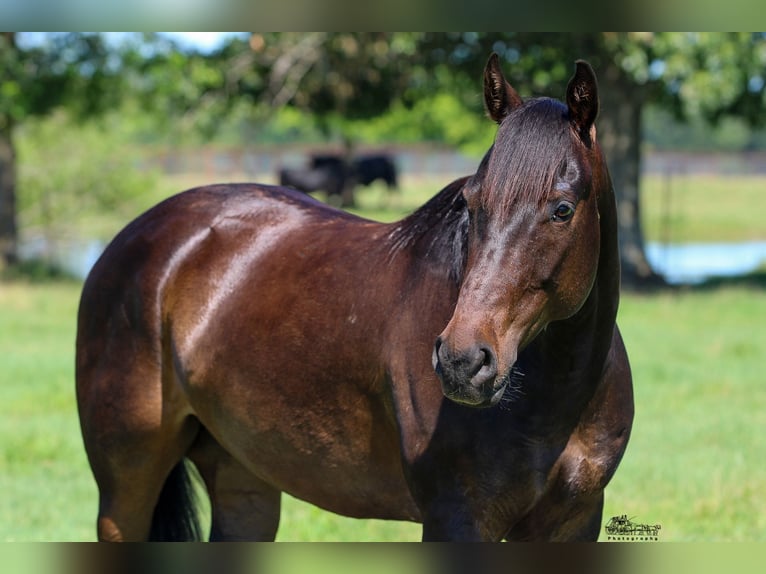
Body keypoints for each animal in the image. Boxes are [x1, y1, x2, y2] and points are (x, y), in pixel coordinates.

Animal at [76, 51, 636, 544]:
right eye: (471, 201)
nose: (462, 362)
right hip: (126, 482)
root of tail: (137, 238)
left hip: (243, 476)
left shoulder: (575, 520)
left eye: (562, 209)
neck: (551, 400)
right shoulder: (456, 518)